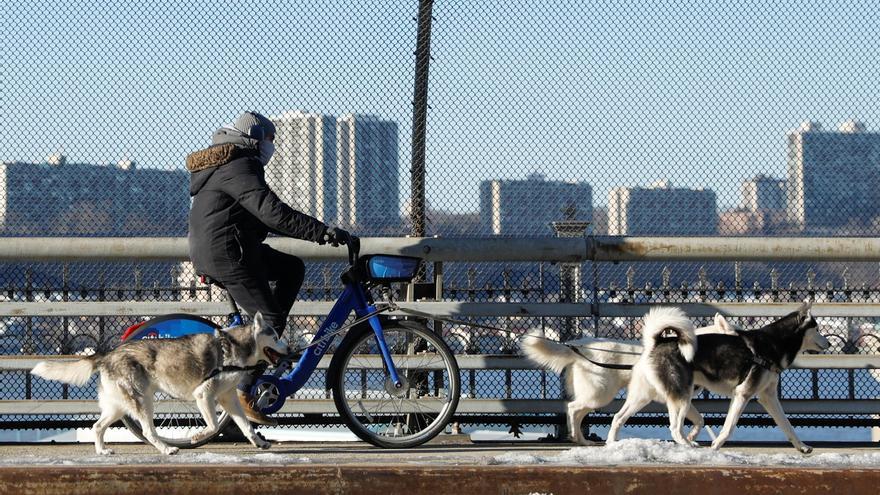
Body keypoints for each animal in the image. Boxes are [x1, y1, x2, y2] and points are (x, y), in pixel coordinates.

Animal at [30, 312, 286, 456]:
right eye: (275, 336)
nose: (290, 349)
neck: (233, 348)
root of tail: (108, 354)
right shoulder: (203, 394)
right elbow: (213, 426)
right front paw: (196, 437)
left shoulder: (229, 398)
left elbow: (246, 426)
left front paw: (259, 443)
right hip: (142, 402)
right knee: (147, 431)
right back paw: (167, 449)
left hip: (118, 406)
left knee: (97, 426)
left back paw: (102, 450)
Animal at [604, 308, 700, 448]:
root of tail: (653, 347)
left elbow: (700, 420)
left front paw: (692, 436)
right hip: (679, 397)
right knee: (675, 428)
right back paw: (685, 443)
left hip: (642, 397)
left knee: (618, 417)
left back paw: (611, 441)